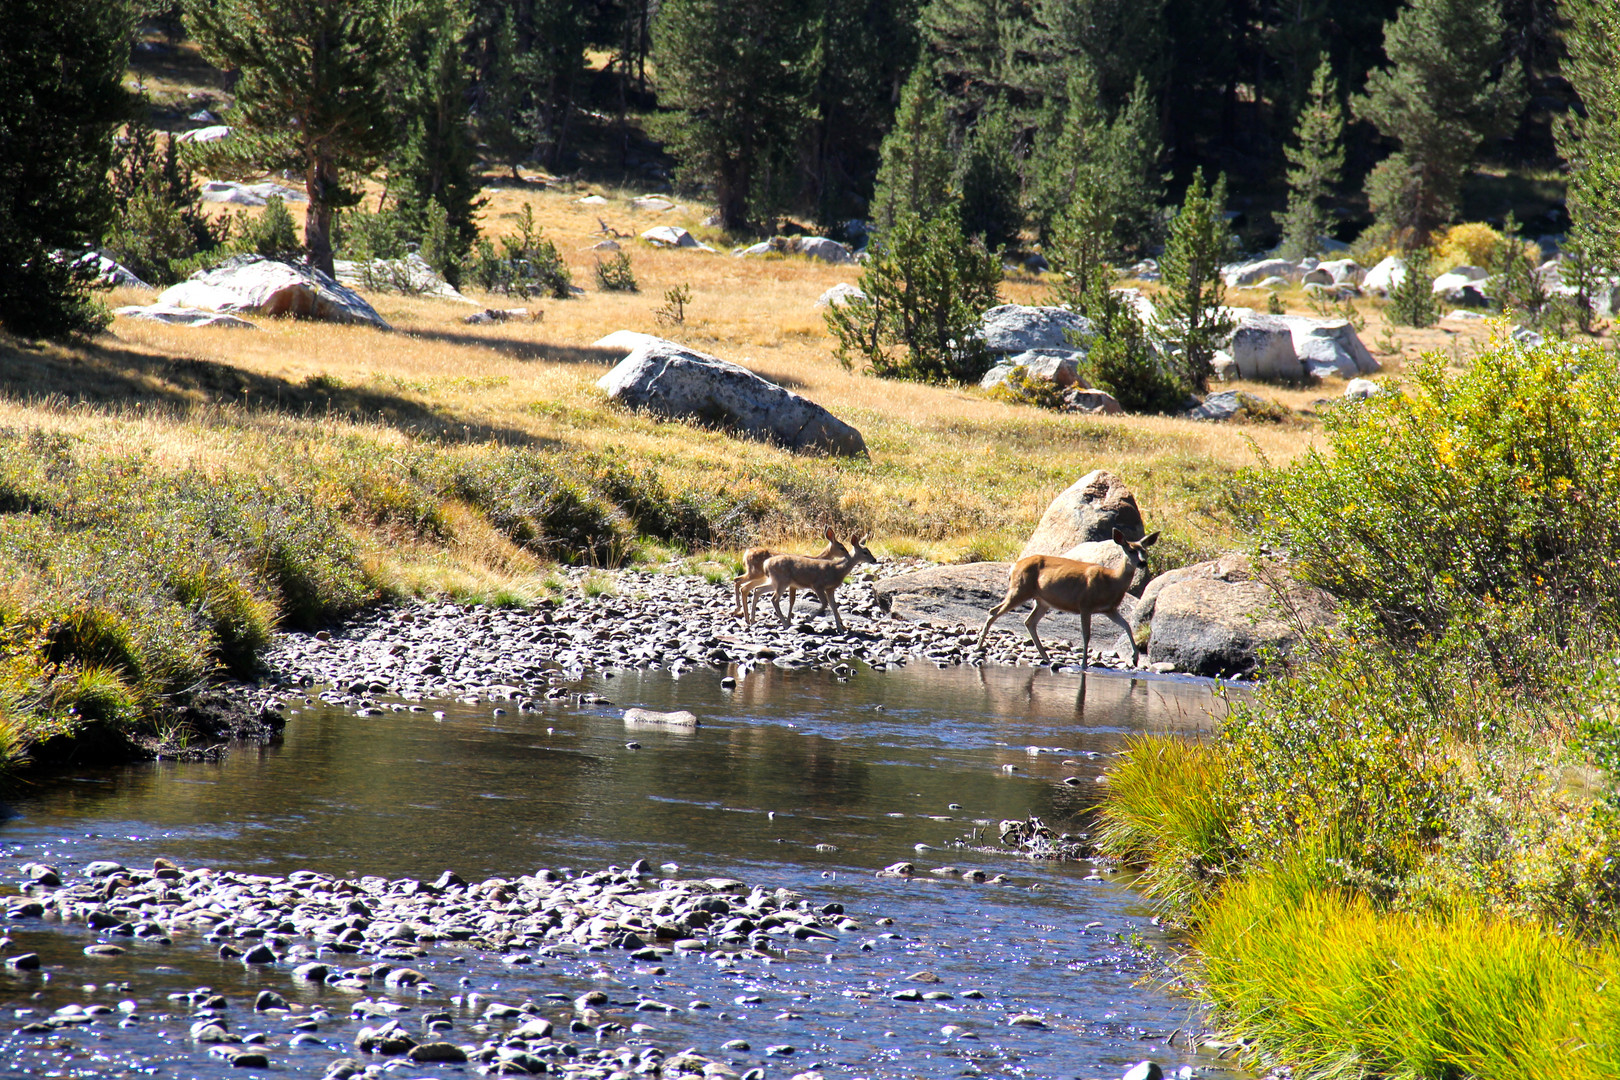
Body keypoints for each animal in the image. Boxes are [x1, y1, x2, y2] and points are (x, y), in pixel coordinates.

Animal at [748, 531, 881, 634]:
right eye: (865, 552)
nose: (874, 560)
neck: (837, 569)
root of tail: (766, 563)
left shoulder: (830, 588)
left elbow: (834, 606)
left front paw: (840, 629)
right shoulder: (818, 585)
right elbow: (824, 604)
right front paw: (806, 620)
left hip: (775, 581)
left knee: (758, 590)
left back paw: (753, 620)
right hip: (782, 581)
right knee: (774, 599)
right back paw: (785, 624)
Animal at [972, 524, 1166, 667]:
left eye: (1144, 551)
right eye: (1130, 550)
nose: (1142, 563)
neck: (1112, 581)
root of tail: (1013, 567)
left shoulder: (1109, 609)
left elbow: (1126, 625)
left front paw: (1134, 658)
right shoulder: (1085, 604)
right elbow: (1086, 635)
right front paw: (1084, 664)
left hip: (1042, 601)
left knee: (1029, 621)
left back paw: (1046, 657)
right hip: (1019, 589)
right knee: (994, 611)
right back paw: (979, 646)